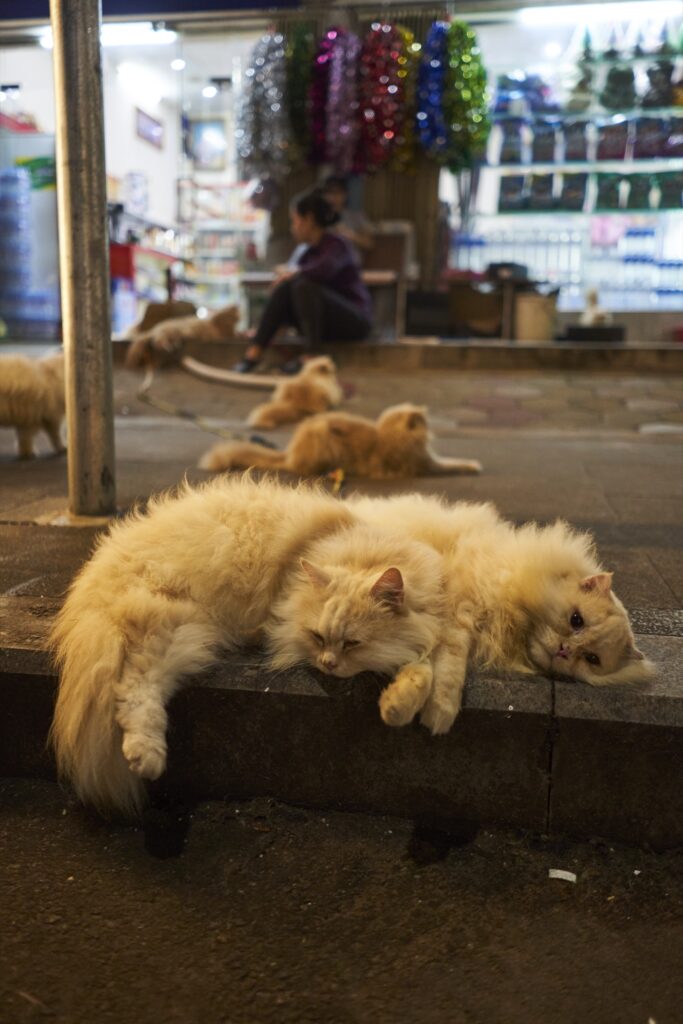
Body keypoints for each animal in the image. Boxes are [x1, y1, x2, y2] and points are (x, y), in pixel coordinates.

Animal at [200, 399, 483, 479]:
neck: (390, 434)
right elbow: (455, 463)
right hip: (324, 434)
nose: (427, 421)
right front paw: (473, 465)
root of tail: (289, 453)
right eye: (423, 421)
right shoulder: (426, 465)